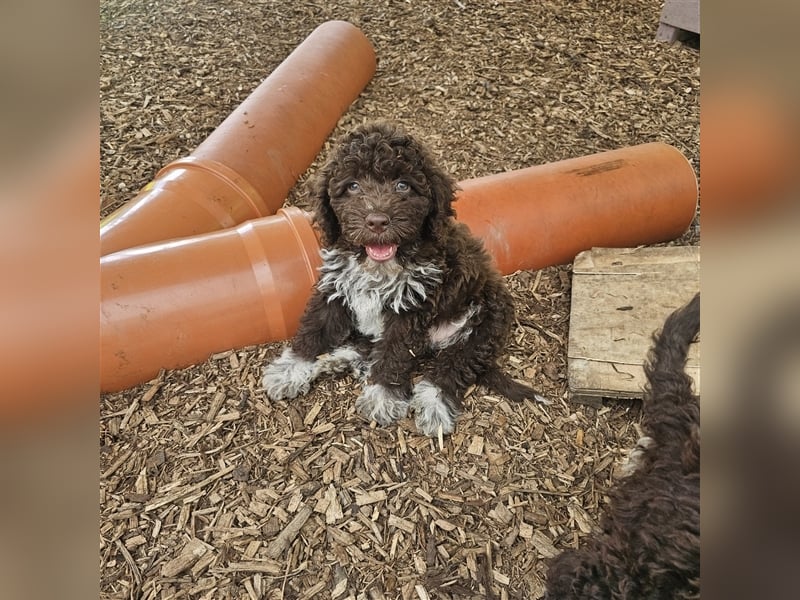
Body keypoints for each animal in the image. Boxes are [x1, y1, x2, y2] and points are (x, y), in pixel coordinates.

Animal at [260, 120, 548, 436]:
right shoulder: (336, 288)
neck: (378, 265)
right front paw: (290, 369)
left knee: (452, 367)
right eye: (352, 185)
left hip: (484, 324)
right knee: (370, 348)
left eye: (403, 185)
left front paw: (383, 397)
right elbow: (314, 330)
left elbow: (395, 352)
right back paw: (335, 361)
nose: (377, 221)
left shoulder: (412, 308)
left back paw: (434, 405)